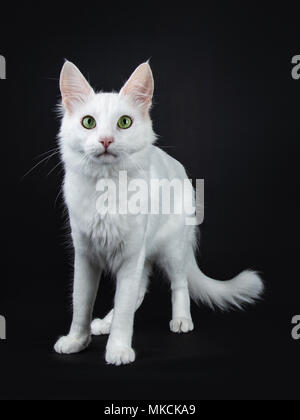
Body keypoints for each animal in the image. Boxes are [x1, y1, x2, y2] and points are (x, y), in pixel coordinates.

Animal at [54, 60, 262, 366]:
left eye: (124, 122)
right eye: (88, 122)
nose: (105, 140)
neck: (106, 188)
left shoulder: (131, 254)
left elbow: (125, 305)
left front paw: (118, 349)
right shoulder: (86, 255)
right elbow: (81, 303)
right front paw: (77, 341)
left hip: (171, 249)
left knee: (178, 285)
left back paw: (181, 321)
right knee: (139, 290)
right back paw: (105, 323)